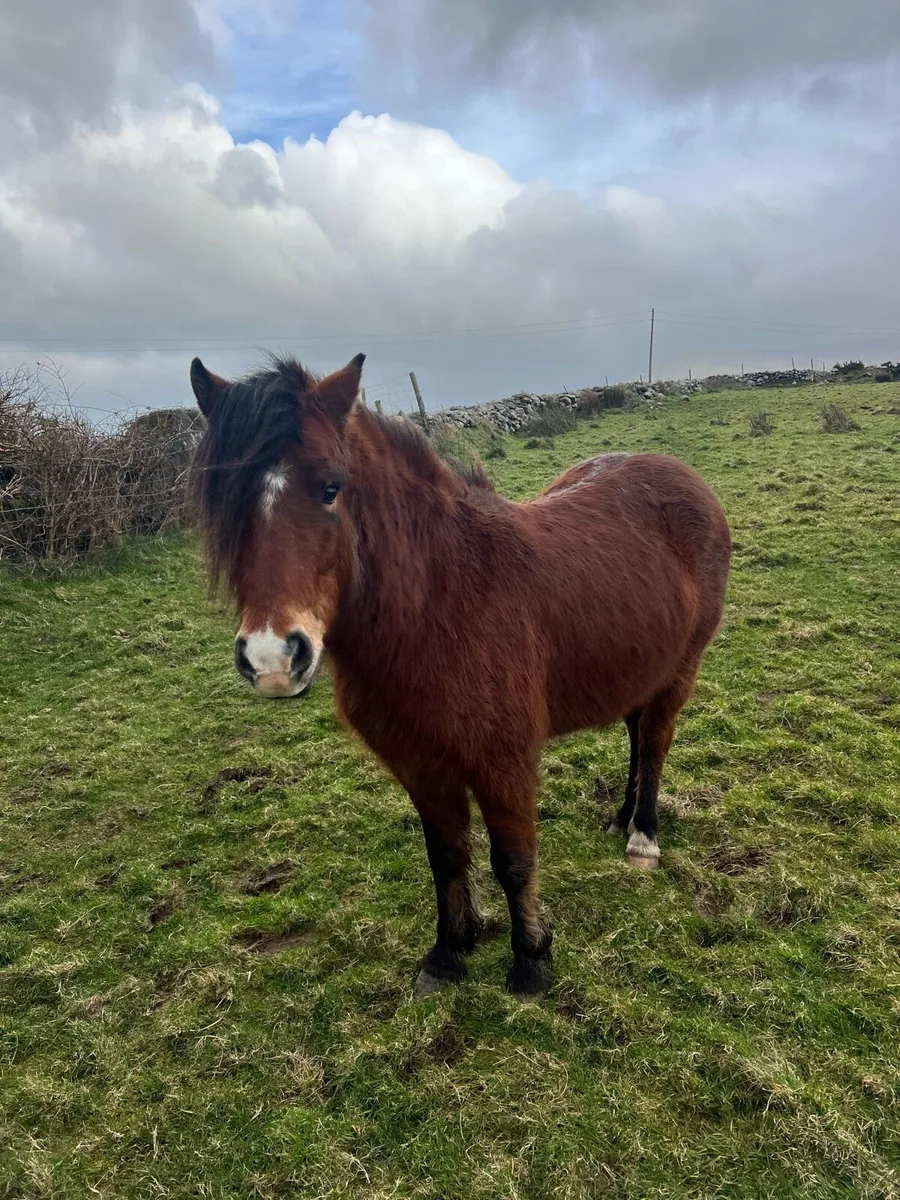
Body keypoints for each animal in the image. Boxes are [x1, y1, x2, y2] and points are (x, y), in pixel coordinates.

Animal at [189, 352, 731, 998]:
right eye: (226, 501)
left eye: (330, 488)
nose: (273, 658)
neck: (442, 606)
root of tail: (683, 475)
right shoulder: (420, 762)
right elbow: (445, 856)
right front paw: (450, 950)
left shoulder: (504, 760)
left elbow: (513, 861)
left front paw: (531, 960)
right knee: (635, 731)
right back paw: (620, 818)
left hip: (680, 669)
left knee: (654, 741)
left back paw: (643, 835)